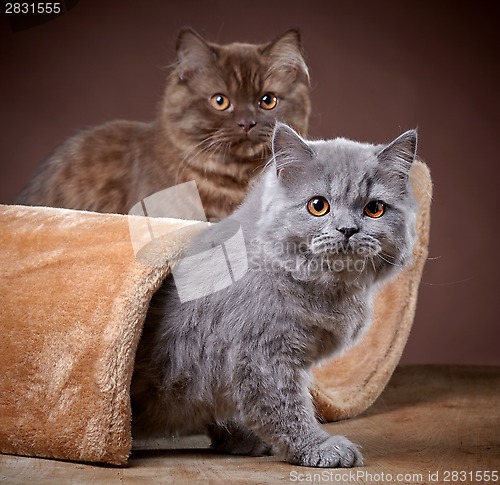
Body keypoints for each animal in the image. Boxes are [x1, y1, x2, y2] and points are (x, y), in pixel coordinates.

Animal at [131, 123, 420, 466]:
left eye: (374, 209)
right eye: (318, 205)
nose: (347, 230)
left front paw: (240, 438)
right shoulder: (261, 354)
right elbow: (286, 409)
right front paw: (318, 448)